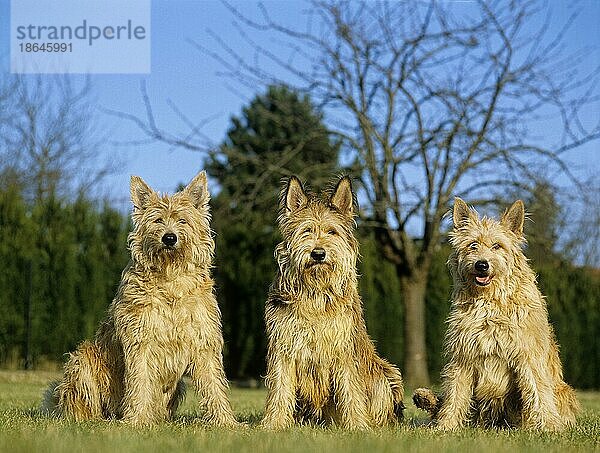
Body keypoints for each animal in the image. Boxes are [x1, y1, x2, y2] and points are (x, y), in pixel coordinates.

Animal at [42, 171, 238, 426]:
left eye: (182, 220)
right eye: (157, 221)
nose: (169, 238)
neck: (170, 279)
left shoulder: (203, 340)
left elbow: (214, 383)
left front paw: (226, 422)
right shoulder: (140, 340)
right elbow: (140, 381)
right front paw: (137, 421)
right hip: (82, 358)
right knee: (81, 404)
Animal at [262, 175, 406, 430]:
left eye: (332, 232)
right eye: (306, 231)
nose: (318, 254)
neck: (316, 293)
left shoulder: (343, 347)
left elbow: (350, 388)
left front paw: (358, 425)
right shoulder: (283, 346)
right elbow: (280, 387)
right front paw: (274, 423)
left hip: (384, 375)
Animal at [414, 198, 580, 430]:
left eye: (497, 246)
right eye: (473, 245)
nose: (482, 265)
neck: (489, 301)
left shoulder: (528, 354)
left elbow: (538, 390)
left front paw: (550, 426)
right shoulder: (463, 356)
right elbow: (455, 394)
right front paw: (445, 426)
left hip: (563, 391)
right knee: (445, 400)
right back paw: (425, 398)